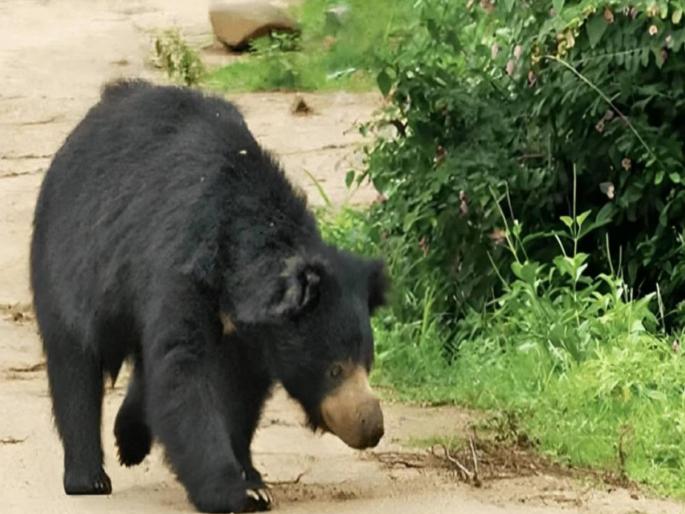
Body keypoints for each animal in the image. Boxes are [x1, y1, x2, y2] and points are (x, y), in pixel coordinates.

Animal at [29, 79, 388, 513]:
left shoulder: (252, 339)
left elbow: (240, 395)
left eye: (367, 362)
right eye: (334, 368)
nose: (371, 426)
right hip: (68, 257)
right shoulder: (181, 266)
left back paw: (130, 438)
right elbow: (185, 375)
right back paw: (89, 478)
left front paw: (254, 480)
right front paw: (235, 491)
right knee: (74, 363)